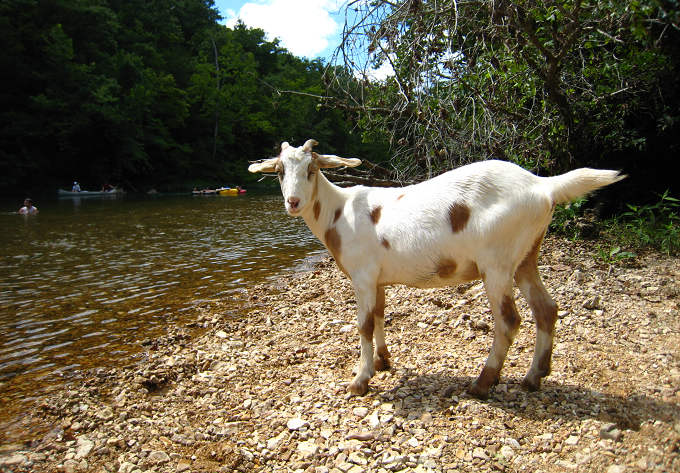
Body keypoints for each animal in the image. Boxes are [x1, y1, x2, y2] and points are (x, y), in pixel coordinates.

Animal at [250, 140, 628, 398]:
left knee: (509, 320)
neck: (338, 213)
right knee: (545, 309)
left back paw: (482, 383)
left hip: (497, 261)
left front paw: (360, 380)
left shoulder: (362, 276)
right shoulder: (378, 278)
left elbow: (363, 324)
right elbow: (380, 315)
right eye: (280, 172)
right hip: (525, 256)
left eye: (311, 170)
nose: (293, 202)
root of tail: (543, 185)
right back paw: (534, 377)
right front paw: (384, 362)